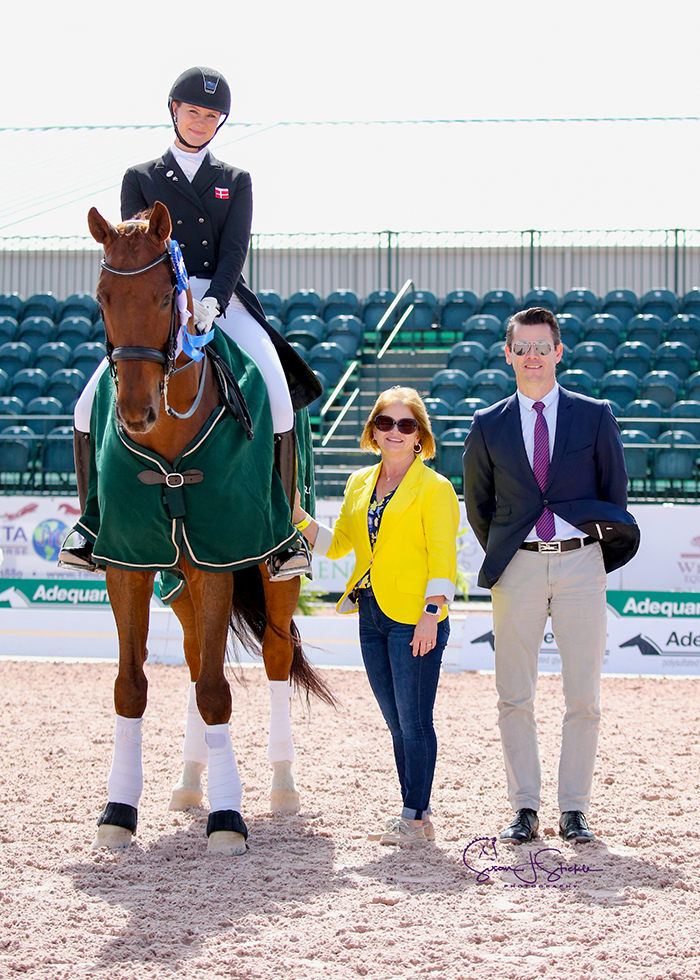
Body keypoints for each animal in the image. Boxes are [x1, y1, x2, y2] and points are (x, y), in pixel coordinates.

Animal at [86, 203, 332, 852]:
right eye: (102, 298)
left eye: (163, 297)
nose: (137, 412)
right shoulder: (127, 562)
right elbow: (134, 685)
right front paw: (119, 810)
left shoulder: (219, 556)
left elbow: (218, 692)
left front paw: (228, 819)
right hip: (177, 578)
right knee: (199, 656)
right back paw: (190, 782)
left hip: (272, 564)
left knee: (274, 655)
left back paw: (281, 788)